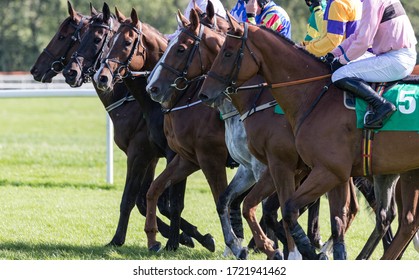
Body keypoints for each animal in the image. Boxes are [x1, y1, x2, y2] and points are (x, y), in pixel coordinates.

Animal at [31, 1, 215, 252]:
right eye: (81, 37)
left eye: (64, 36)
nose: (35, 70)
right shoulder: (149, 155)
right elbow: (145, 199)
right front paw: (183, 236)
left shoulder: (148, 152)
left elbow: (149, 199)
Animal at [199, 11, 419, 260]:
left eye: (227, 53)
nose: (204, 94)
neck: (314, 96)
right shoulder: (325, 172)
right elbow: (331, 220)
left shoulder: (308, 169)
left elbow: (287, 208)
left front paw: (298, 249)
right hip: (399, 172)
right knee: (399, 219)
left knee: (402, 220)